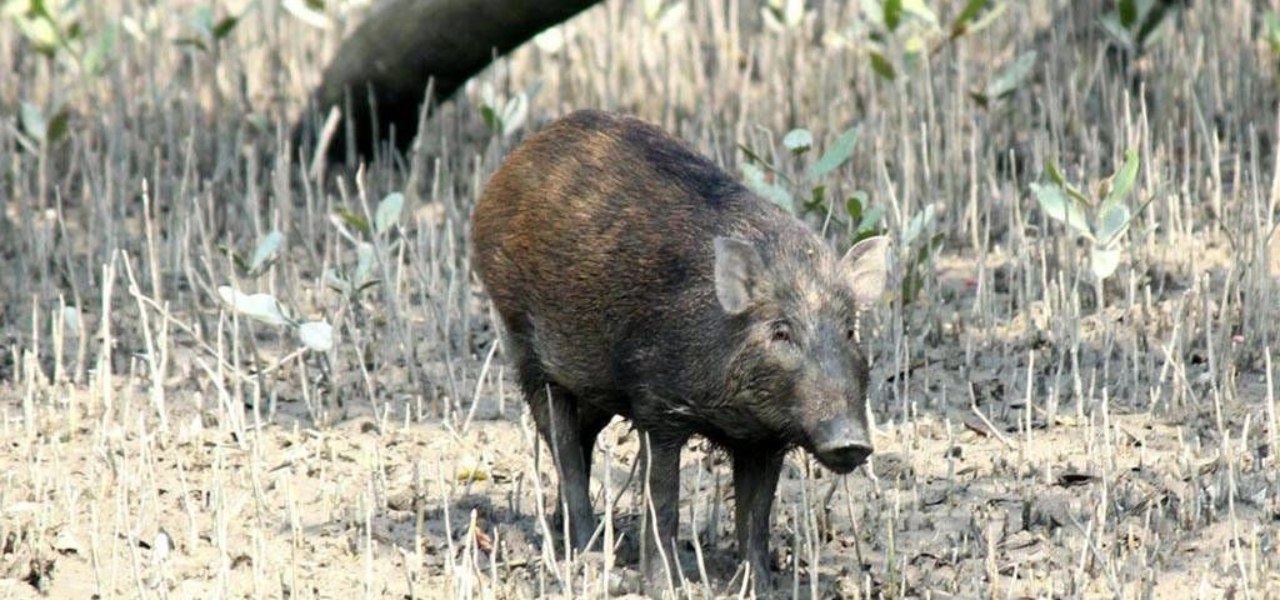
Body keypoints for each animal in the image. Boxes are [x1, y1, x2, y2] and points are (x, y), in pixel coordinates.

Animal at [470, 109, 888, 594]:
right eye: (781, 331)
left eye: (851, 331)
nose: (851, 441)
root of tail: (509, 166)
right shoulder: (657, 409)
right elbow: (663, 503)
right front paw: (665, 588)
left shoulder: (764, 441)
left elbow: (755, 518)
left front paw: (761, 589)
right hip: (526, 348)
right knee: (563, 445)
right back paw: (588, 552)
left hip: (592, 385)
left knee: (582, 440)